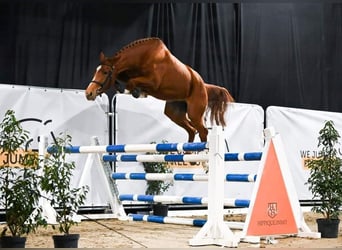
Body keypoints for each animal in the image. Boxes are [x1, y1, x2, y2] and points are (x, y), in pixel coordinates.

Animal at [85, 37, 235, 143]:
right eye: (96, 71)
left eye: (105, 72)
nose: (88, 93)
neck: (143, 57)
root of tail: (203, 85)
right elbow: (124, 79)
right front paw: (124, 87)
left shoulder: (153, 82)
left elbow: (132, 82)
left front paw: (135, 92)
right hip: (174, 113)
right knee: (192, 130)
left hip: (195, 112)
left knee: (203, 131)